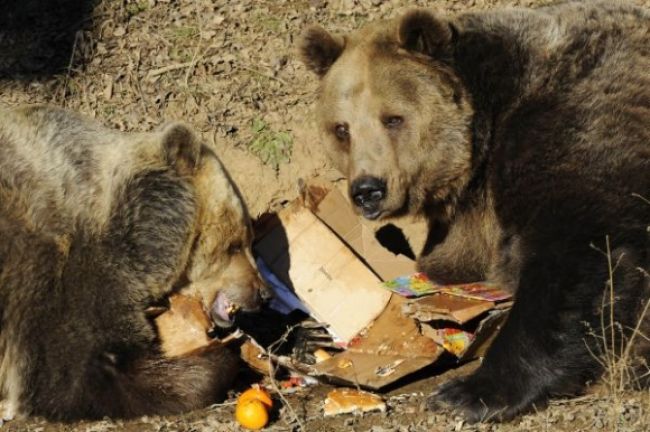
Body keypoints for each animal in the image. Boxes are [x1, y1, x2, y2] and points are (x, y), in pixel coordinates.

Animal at [0, 104, 270, 422]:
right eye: (235, 244)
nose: (263, 293)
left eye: (248, 240)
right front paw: (223, 359)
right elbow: (76, 370)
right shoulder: (58, 271)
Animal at [302, 0, 648, 424]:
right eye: (341, 129)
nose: (368, 190)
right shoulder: (473, 207)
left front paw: (469, 392)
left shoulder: (579, 126)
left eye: (393, 118)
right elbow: (454, 260)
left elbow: (575, 253)